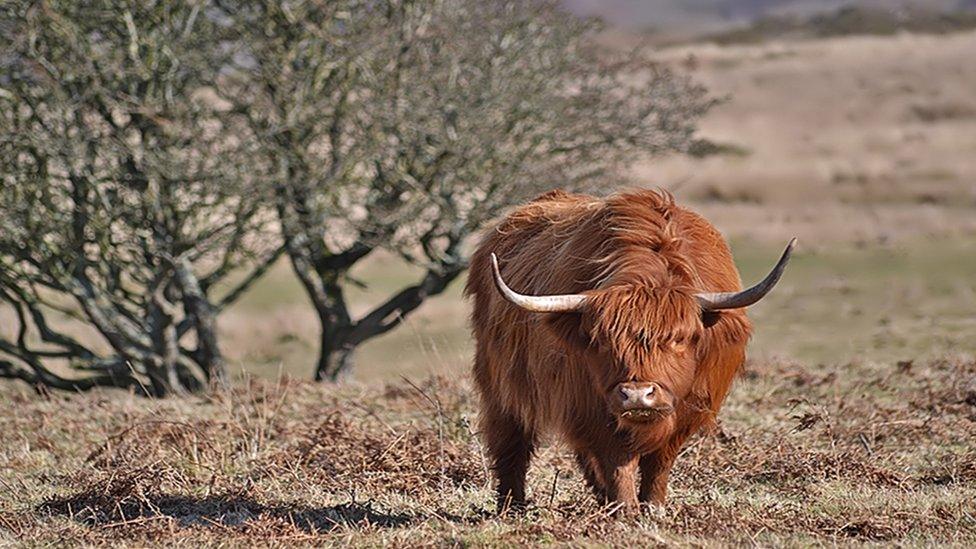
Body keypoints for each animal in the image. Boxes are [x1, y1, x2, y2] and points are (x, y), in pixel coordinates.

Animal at [466, 187, 792, 510]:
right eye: (602, 341)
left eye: (678, 339)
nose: (637, 395)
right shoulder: (590, 406)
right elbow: (616, 461)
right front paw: (626, 510)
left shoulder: (689, 407)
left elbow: (659, 462)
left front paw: (653, 507)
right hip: (500, 385)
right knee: (511, 442)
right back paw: (512, 506)